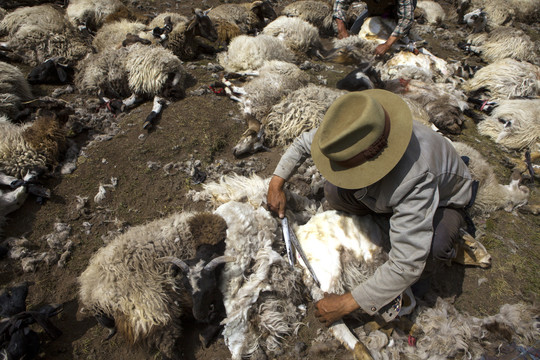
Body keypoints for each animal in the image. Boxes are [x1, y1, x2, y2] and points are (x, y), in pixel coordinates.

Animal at [77, 211, 233, 358]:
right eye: (186, 286)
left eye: (211, 285)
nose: (200, 315)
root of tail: (92, 293)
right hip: (152, 309)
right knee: (167, 347)